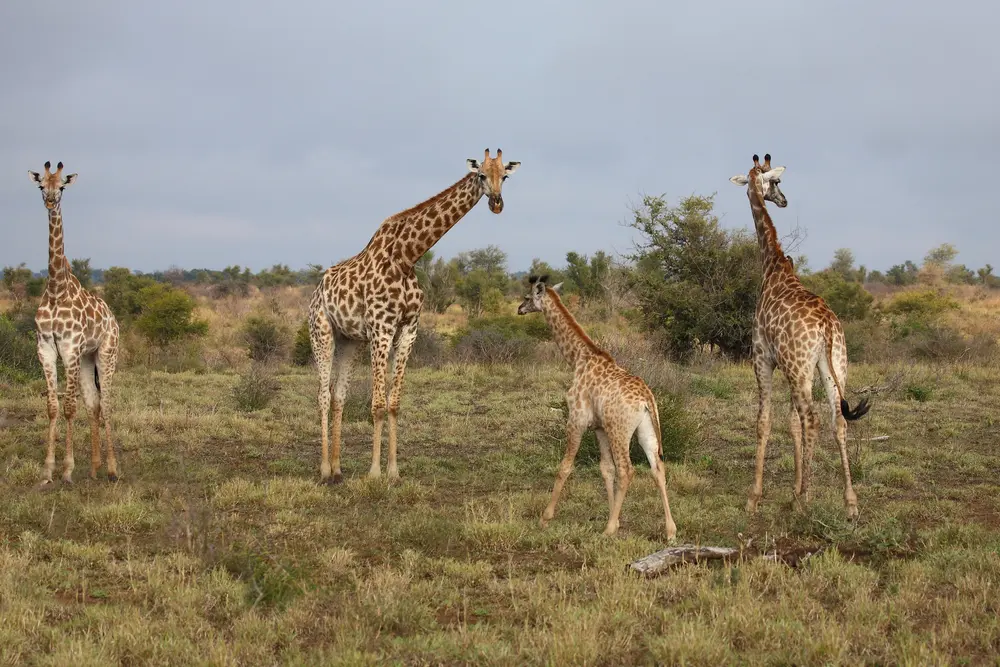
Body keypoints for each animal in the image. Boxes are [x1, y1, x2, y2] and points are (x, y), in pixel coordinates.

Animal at [27, 161, 121, 485]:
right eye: (41, 184)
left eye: (63, 186)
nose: (50, 200)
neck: (56, 290)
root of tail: (114, 319)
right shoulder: (45, 349)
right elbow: (53, 406)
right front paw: (47, 471)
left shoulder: (68, 349)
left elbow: (69, 407)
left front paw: (67, 470)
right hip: (87, 358)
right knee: (94, 404)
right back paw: (94, 468)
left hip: (106, 354)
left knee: (107, 404)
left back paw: (112, 469)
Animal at [308, 149, 520, 484]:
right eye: (481, 175)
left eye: (506, 176)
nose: (497, 203)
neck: (407, 257)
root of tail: (316, 291)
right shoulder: (381, 329)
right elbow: (377, 404)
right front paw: (374, 473)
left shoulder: (408, 330)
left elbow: (394, 403)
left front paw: (394, 472)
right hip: (321, 333)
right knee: (322, 395)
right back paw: (325, 470)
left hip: (349, 340)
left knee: (338, 395)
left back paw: (339, 468)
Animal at [517, 276, 676, 538]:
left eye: (528, 297)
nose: (519, 309)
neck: (578, 358)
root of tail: (646, 399)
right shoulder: (599, 427)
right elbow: (605, 469)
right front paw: (616, 519)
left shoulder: (577, 420)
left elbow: (565, 467)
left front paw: (545, 518)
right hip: (645, 429)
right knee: (657, 469)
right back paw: (670, 530)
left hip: (620, 430)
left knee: (627, 470)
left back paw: (608, 530)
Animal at [729, 153, 871, 518]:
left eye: (776, 181)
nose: (783, 200)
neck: (773, 266)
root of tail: (827, 325)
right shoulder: (790, 367)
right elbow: (791, 423)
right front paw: (792, 489)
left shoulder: (762, 357)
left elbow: (765, 421)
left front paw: (755, 497)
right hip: (832, 365)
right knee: (838, 419)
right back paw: (850, 502)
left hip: (800, 366)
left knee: (813, 418)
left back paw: (806, 500)